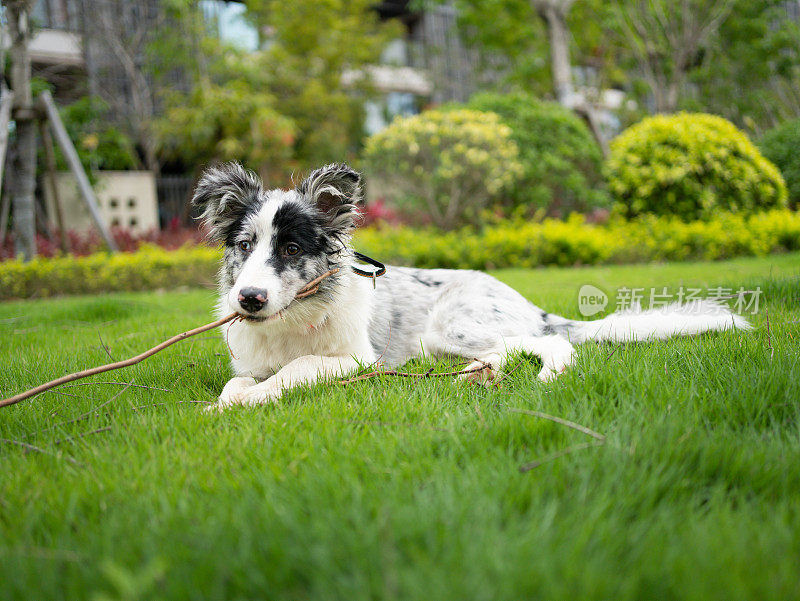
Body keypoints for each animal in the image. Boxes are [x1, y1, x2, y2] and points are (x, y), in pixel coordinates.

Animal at [192, 163, 752, 408]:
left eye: (291, 249)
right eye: (245, 245)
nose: (249, 299)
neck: (292, 319)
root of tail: (527, 303)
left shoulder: (357, 359)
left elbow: (299, 367)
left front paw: (246, 401)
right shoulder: (253, 360)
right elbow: (237, 382)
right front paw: (230, 399)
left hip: (450, 324)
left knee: (548, 345)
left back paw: (542, 376)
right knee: (508, 350)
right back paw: (474, 375)